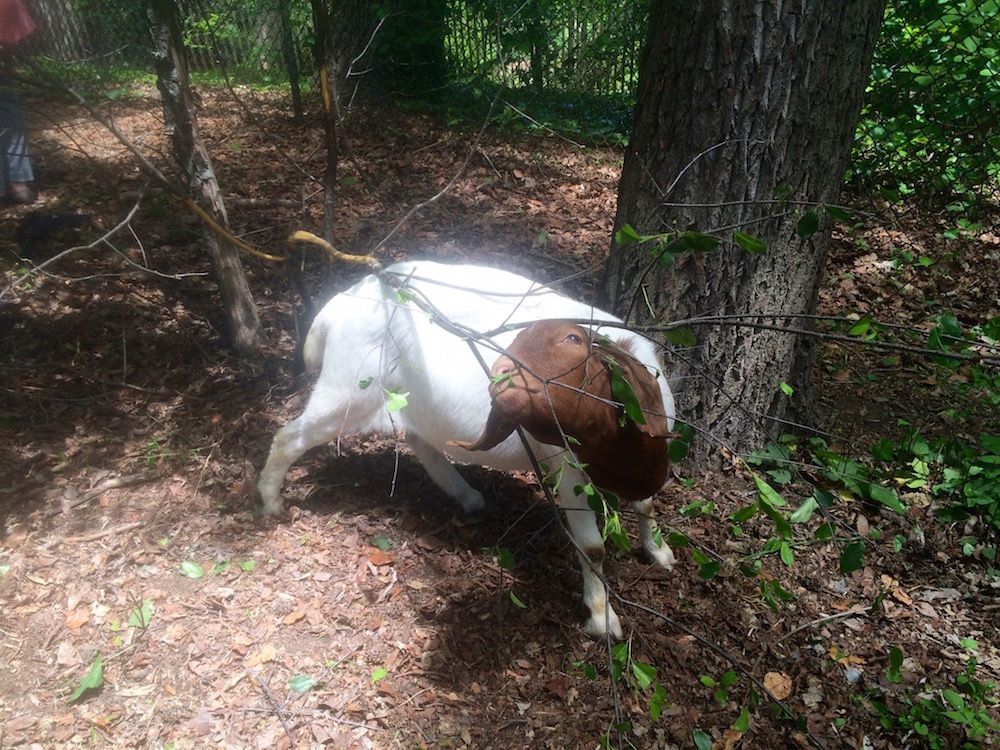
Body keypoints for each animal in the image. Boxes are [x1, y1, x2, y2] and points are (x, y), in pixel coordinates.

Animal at [256, 260, 680, 640]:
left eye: (573, 341)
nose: (502, 379)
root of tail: (336, 306)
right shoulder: (568, 468)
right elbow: (592, 547)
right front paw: (602, 619)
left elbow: (647, 503)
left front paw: (659, 552)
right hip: (346, 390)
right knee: (289, 437)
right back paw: (271, 500)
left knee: (420, 441)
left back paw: (468, 496)